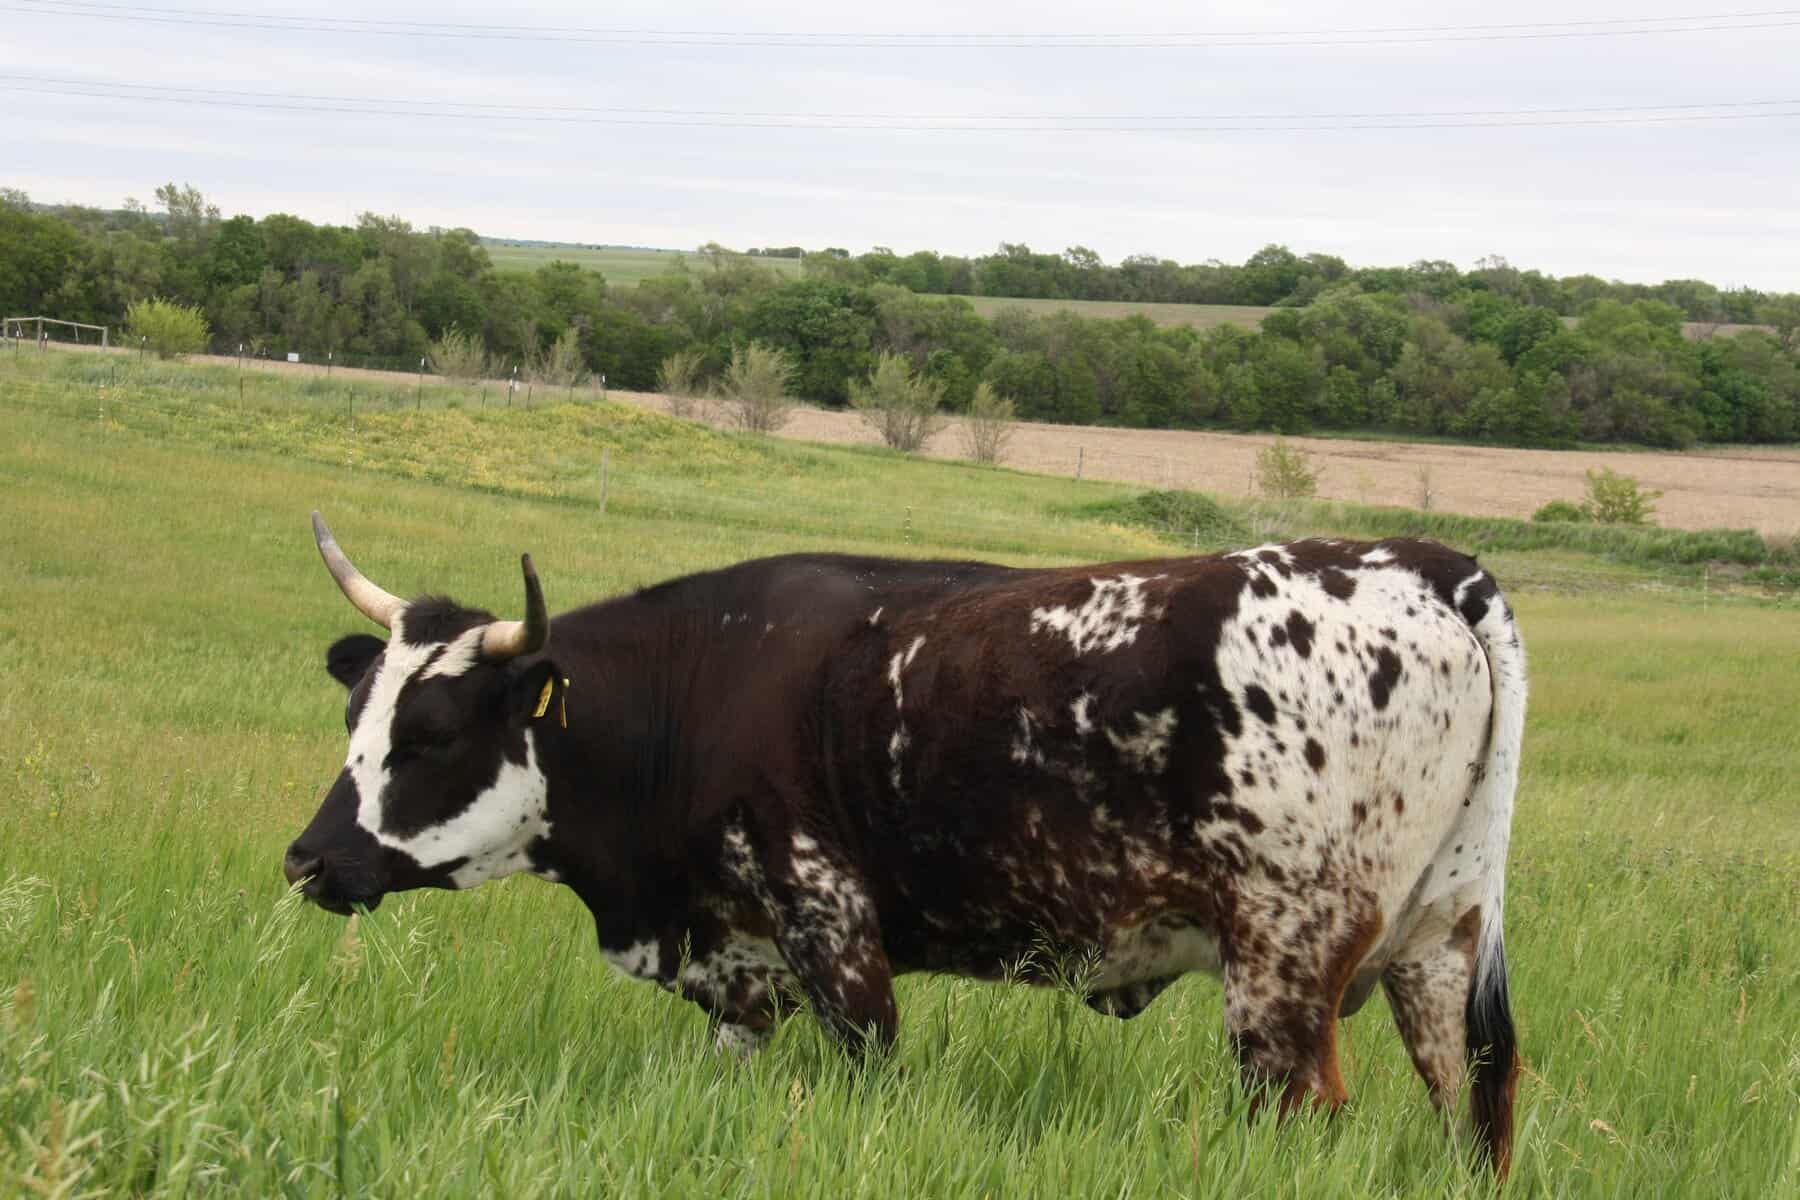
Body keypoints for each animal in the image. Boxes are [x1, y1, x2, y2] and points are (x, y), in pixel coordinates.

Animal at [285, 513, 1526, 1177]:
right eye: (354, 715)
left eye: (431, 733)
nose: (308, 861)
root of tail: (1416, 562)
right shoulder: (743, 972)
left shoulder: (831, 930)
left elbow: (871, 1072)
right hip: (1437, 949)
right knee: (1476, 1109)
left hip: (1281, 973)